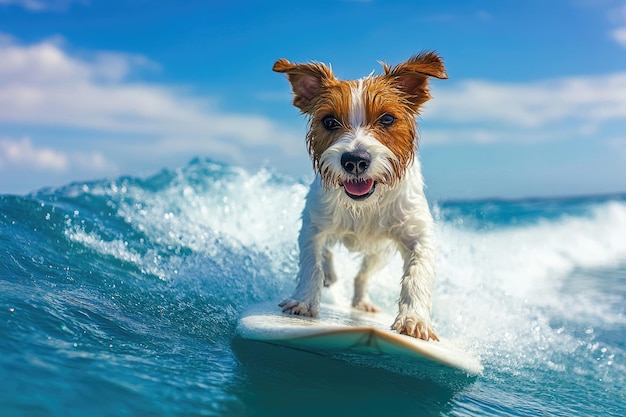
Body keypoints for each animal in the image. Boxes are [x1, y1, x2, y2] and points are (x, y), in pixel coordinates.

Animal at [272, 50, 444, 340]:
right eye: (329, 121)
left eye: (387, 119)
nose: (354, 160)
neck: (365, 206)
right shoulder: (312, 224)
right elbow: (312, 263)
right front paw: (304, 300)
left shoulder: (417, 234)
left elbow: (417, 274)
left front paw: (414, 318)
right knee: (328, 254)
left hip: (379, 253)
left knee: (362, 276)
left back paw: (362, 301)